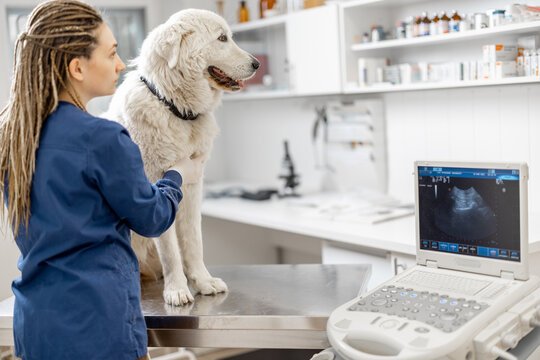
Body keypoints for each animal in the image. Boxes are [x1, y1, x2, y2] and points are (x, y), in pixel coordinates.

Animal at [104, 9, 260, 306]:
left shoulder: (192, 187)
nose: (257, 64)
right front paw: (177, 289)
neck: (174, 107)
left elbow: (193, 242)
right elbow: (170, 251)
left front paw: (202, 281)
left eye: (230, 36)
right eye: (222, 38)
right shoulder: (156, 188)